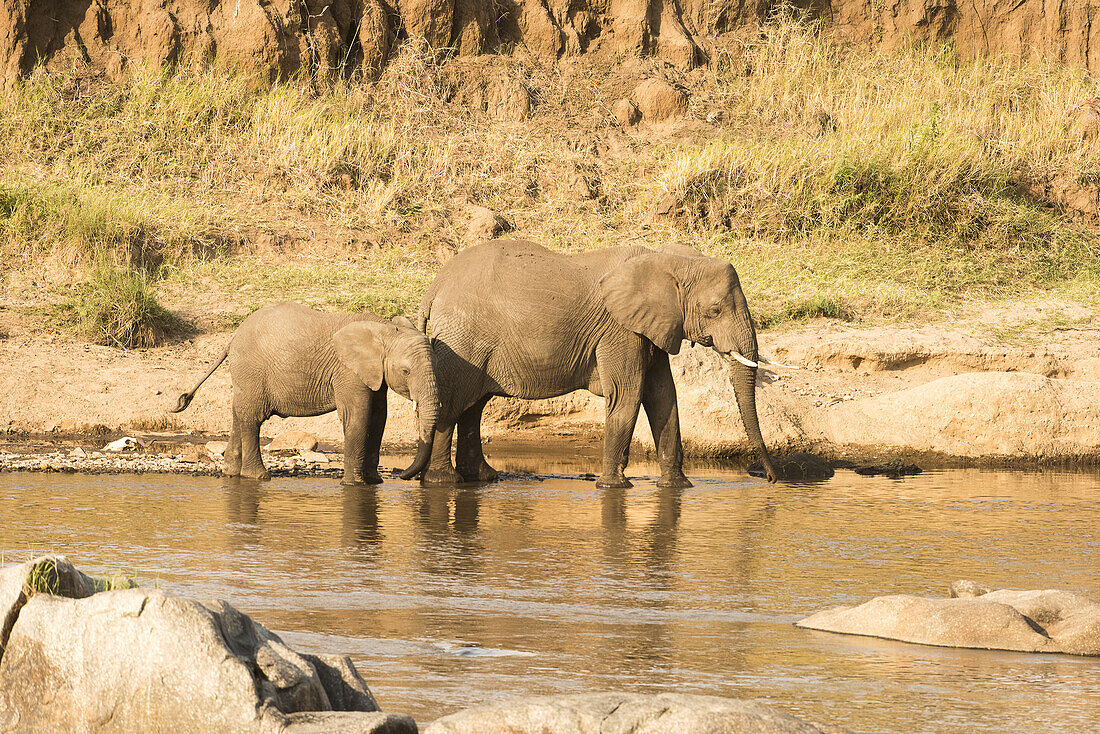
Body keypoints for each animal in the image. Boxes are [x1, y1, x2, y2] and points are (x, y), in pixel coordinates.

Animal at [171, 301, 437, 484]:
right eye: (406, 371)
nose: (401, 474)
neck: (384, 329)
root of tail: (232, 338)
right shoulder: (347, 370)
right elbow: (358, 416)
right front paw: (354, 485)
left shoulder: (373, 374)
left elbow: (379, 417)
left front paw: (374, 482)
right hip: (252, 369)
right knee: (252, 417)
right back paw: (258, 477)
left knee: (239, 413)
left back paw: (231, 474)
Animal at [415, 240, 778, 488]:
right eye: (715, 310)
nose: (770, 478)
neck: (664, 259)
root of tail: (434, 288)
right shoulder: (619, 330)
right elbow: (628, 396)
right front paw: (614, 487)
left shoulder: (650, 328)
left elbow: (664, 398)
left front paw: (677, 487)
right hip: (465, 338)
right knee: (456, 400)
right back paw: (443, 481)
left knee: (473, 405)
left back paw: (483, 478)